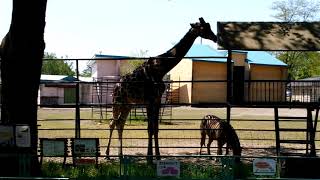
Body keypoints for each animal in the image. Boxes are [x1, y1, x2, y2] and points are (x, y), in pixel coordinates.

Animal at [106, 17, 219, 162]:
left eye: (209, 26)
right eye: (204, 27)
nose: (215, 37)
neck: (162, 67)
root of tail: (116, 86)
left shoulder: (157, 99)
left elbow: (156, 128)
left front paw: (158, 156)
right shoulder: (149, 100)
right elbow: (149, 128)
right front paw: (149, 158)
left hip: (128, 104)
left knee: (120, 123)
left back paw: (120, 155)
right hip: (117, 102)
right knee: (112, 123)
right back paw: (108, 155)